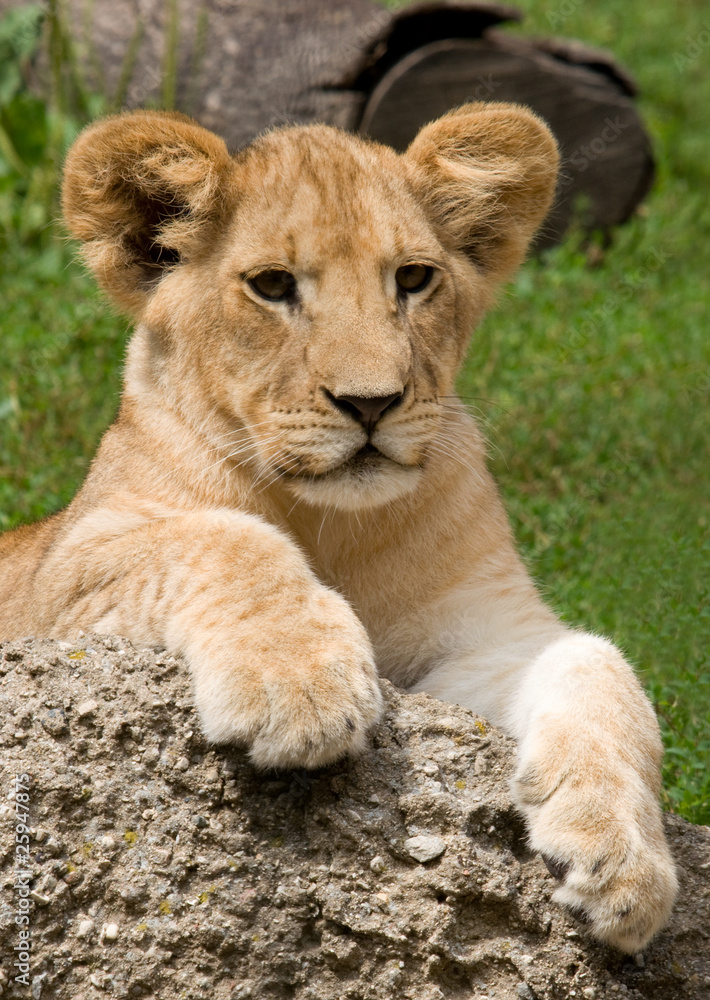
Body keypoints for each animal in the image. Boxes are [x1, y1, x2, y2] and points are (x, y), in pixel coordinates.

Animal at [0, 104, 677, 952]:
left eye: (413, 279)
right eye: (272, 286)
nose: (372, 402)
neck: (334, 526)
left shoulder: (479, 634)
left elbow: (598, 662)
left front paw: (624, 861)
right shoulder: (63, 579)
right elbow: (224, 536)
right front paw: (297, 687)